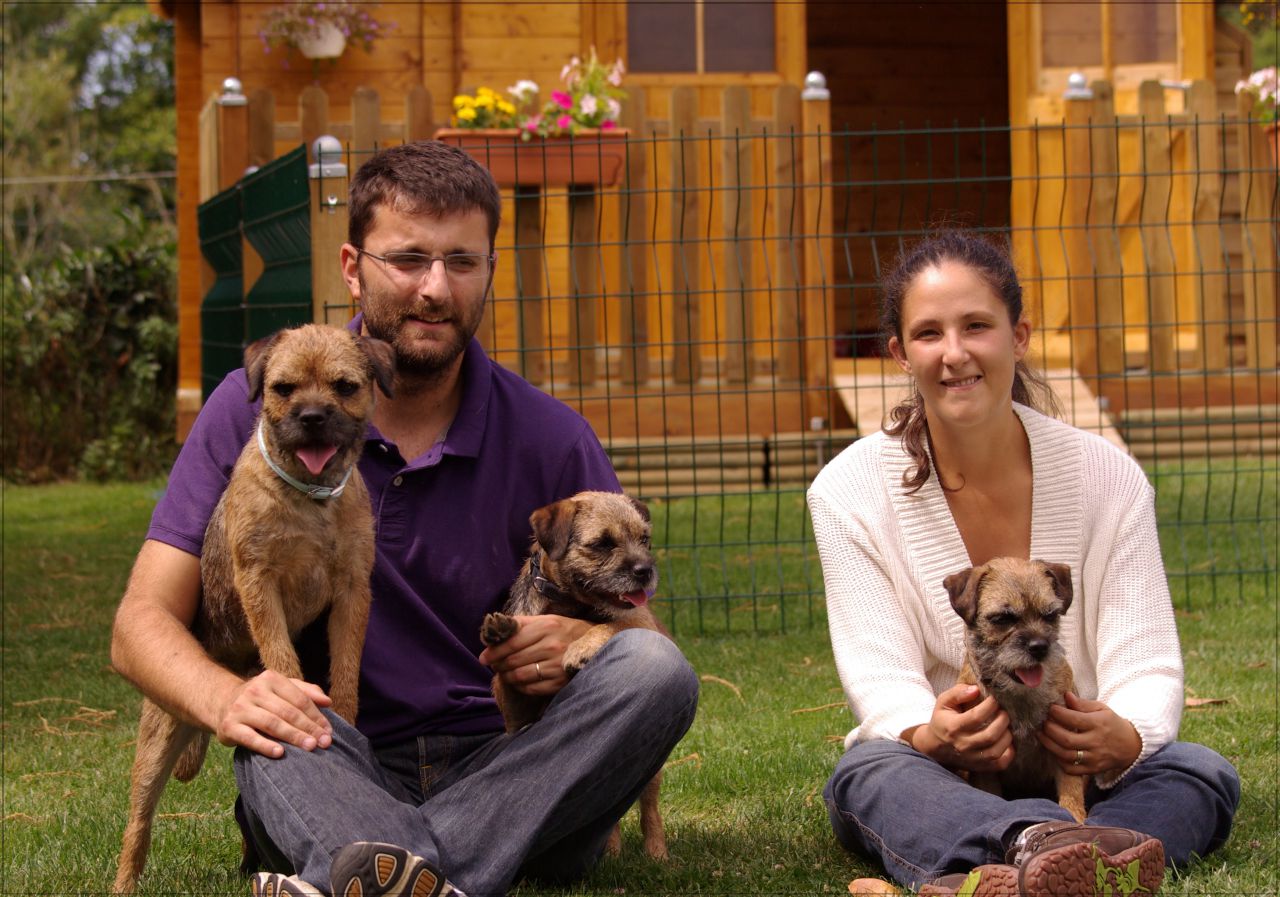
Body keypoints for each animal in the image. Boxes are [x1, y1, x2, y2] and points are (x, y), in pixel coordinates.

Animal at [112, 324, 394, 894]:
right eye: (283, 389)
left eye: (344, 387)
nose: (312, 416)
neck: (311, 501)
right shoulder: (259, 582)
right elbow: (282, 656)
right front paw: (296, 700)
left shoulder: (353, 589)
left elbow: (346, 665)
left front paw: (345, 713)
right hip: (156, 741)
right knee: (139, 824)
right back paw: (124, 881)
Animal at [479, 490, 670, 860]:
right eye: (603, 543)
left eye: (645, 539)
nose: (645, 571)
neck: (569, 604)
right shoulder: (516, 713)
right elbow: (507, 676)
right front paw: (502, 630)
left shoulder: (640, 620)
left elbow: (616, 623)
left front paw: (580, 646)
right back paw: (611, 851)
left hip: (652, 774)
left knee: (649, 809)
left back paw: (657, 854)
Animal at [943, 557, 1087, 823]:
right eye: (1002, 619)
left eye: (1050, 615)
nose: (1040, 647)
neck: (1019, 694)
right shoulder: (985, 760)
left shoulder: (1065, 742)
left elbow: (1071, 789)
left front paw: (1076, 819)